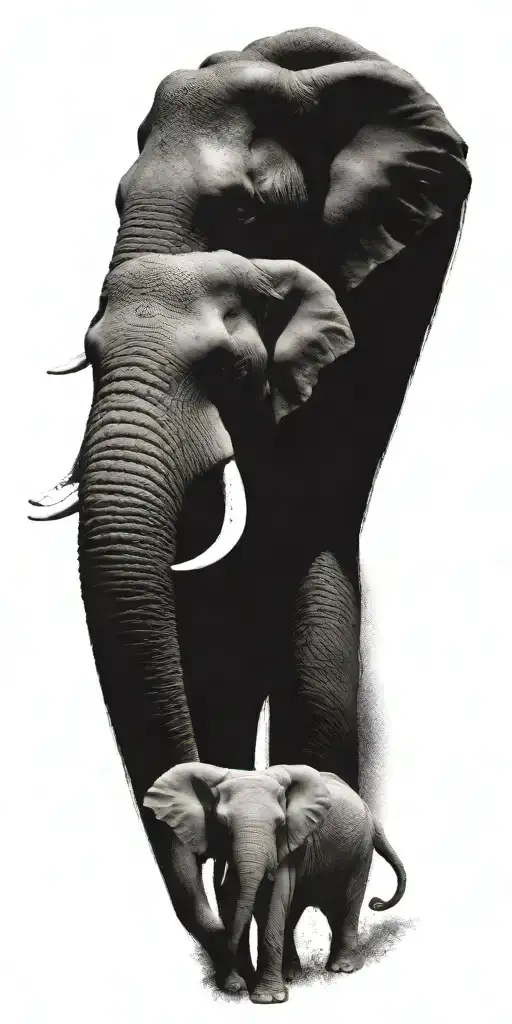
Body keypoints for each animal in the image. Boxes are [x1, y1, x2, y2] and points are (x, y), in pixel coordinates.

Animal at [144, 760, 406, 1003]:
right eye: (222, 824)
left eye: (279, 823)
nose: (236, 986)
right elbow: (235, 897)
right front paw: (245, 986)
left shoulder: (290, 841)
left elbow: (271, 900)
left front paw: (267, 999)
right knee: (298, 910)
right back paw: (291, 974)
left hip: (360, 852)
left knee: (346, 904)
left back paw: (343, 968)